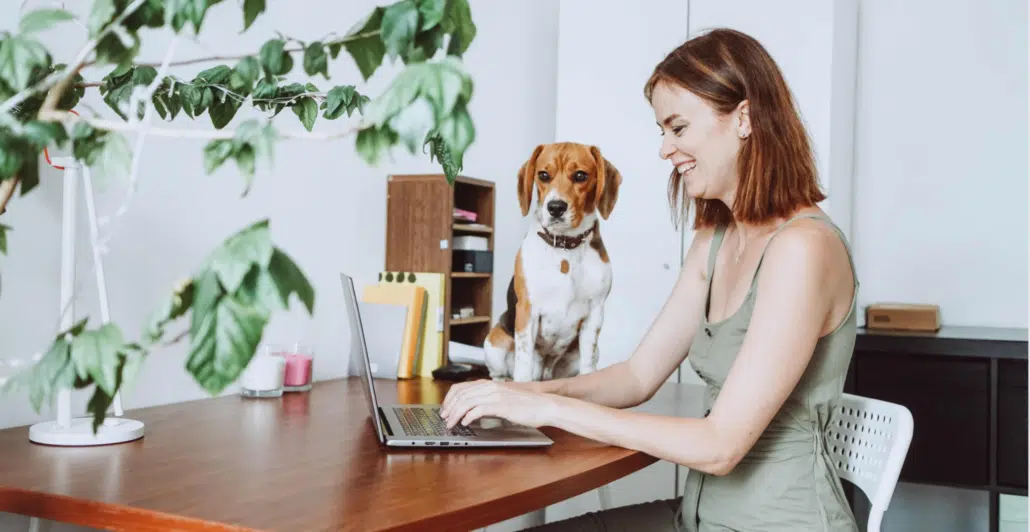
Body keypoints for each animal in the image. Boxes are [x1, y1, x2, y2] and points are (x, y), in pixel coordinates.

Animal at [482, 140, 618, 380]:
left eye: (581, 175)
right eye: (543, 175)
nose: (555, 207)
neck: (564, 248)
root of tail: (544, 374)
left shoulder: (595, 313)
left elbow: (588, 363)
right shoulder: (527, 311)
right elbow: (523, 362)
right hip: (494, 342)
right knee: (501, 373)